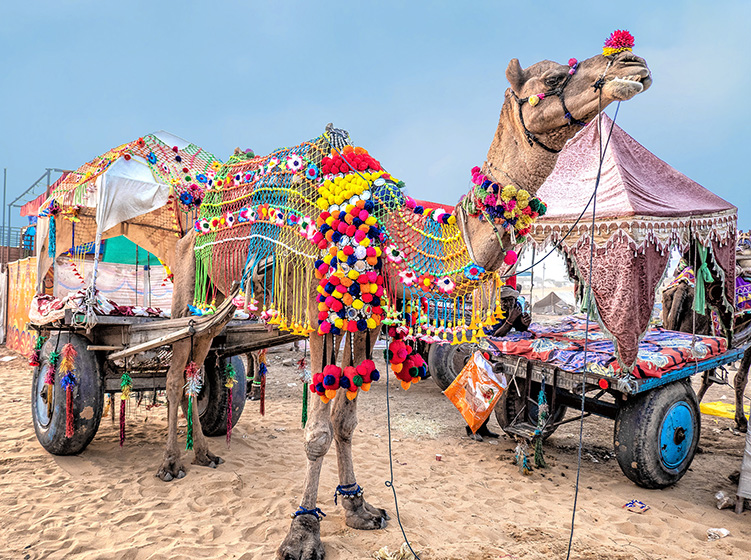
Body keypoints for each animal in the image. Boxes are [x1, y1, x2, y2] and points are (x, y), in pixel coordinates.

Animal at [154, 31, 652, 560]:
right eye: (555, 77)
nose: (631, 61)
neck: (382, 231)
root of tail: (190, 224)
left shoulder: (363, 321)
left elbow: (345, 420)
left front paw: (358, 507)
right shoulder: (320, 317)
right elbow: (317, 432)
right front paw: (302, 532)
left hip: (216, 304)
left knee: (198, 362)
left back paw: (205, 454)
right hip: (187, 284)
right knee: (175, 369)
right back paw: (171, 464)